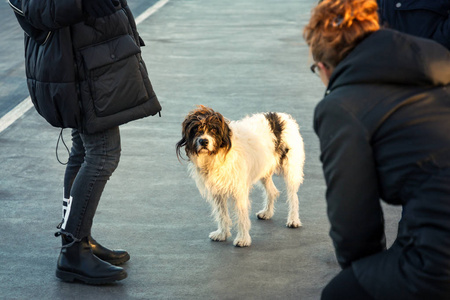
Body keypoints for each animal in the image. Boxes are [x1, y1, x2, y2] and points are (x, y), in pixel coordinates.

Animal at [177, 105, 306, 246]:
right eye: (195, 129)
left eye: (213, 129)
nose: (203, 141)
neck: (217, 155)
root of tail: (282, 116)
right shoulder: (217, 191)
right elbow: (222, 214)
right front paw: (222, 234)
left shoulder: (239, 190)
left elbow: (241, 215)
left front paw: (243, 239)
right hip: (264, 170)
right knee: (272, 191)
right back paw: (267, 212)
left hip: (291, 169)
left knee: (293, 196)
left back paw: (293, 219)